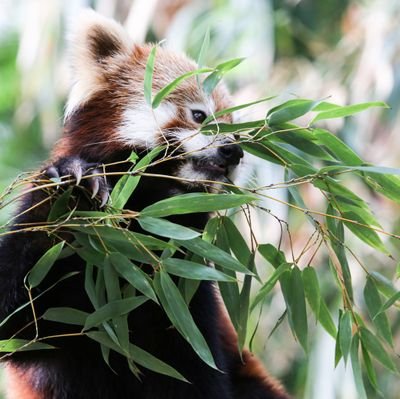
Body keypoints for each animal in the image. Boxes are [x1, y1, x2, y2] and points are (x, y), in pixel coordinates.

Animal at [0, 9, 290, 399]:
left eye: (238, 131)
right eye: (200, 115)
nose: (234, 151)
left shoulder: (182, 287)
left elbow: (190, 369)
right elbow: (14, 305)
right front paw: (73, 188)